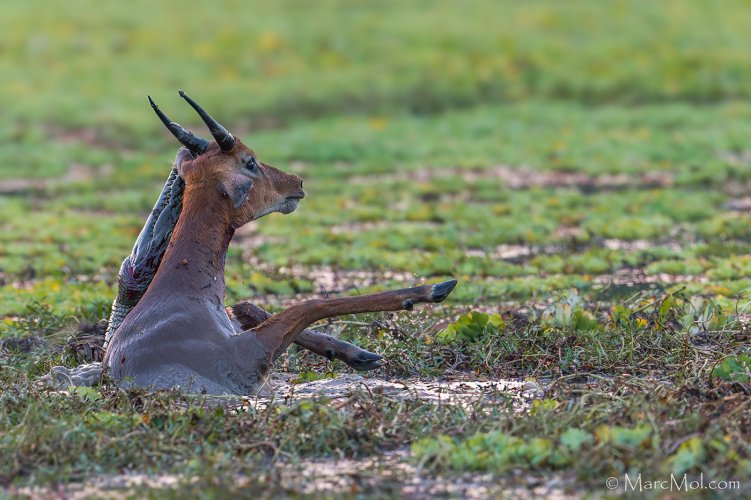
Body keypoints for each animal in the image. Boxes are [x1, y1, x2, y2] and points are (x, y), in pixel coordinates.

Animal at [93, 90, 456, 394]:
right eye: (250, 161)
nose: (297, 182)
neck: (184, 290)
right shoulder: (250, 358)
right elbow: (310, 304)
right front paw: (431, 289)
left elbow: (249, 304)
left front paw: (359, 354)